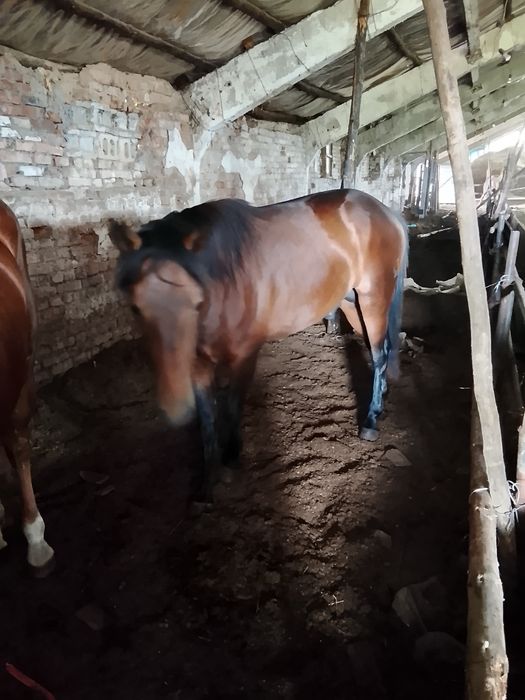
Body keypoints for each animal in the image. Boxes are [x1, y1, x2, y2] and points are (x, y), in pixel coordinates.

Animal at [109, 189, 408, 501]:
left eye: (196, 301)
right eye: (135, 308)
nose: (175, 407)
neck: (225, 282)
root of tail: (384, 212)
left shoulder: (244, 356)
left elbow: (232, 406)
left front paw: (231, 460)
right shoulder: (197, 363)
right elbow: (207, 421)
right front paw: (208, 482)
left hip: (373, 299)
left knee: (380, 354)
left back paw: (370, 421)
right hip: (350, 302)